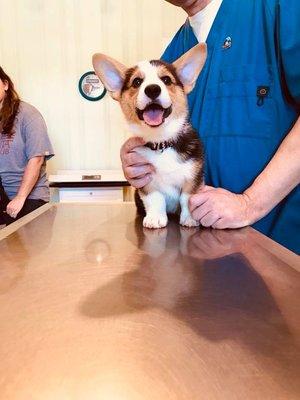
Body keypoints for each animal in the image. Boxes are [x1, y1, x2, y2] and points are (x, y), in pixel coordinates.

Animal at [93, 43, 206, 228]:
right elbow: (155, 199)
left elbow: (187, 198)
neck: (160, 142)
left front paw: (190, 218)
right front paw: (155, 218)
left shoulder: (193, 177)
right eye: (137, 82)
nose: (153, 89)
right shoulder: (145, 180)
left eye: (166, 80)